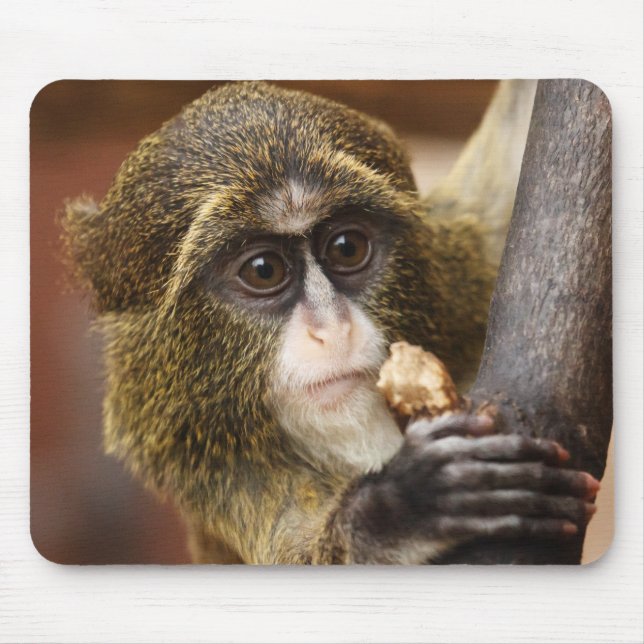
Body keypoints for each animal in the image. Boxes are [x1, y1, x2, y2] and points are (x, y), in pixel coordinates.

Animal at [61, 81, 600, 564]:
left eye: (346, 247)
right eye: (264, 270)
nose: (332, 330)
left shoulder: (461, 269)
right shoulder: (215, 470)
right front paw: (403, 506)